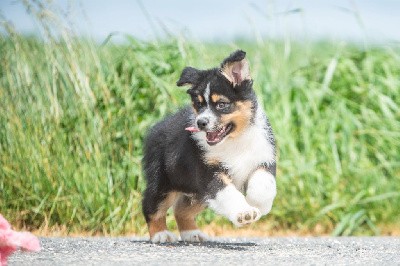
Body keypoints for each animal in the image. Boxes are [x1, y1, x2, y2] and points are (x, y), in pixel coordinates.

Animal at [142, 50, 276, 243]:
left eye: (221, 104)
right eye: (199, 104)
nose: (201, 123)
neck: (234, 141)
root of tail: (157, 127)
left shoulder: (263, 158)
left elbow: (264, 185)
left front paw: (258, 205)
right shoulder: (208, 172)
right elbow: (228, 193)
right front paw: (244, 213)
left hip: (196, 192)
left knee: (181, 209)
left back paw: (192, 233)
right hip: (163, 181)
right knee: (151, 205)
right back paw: (161, 234)